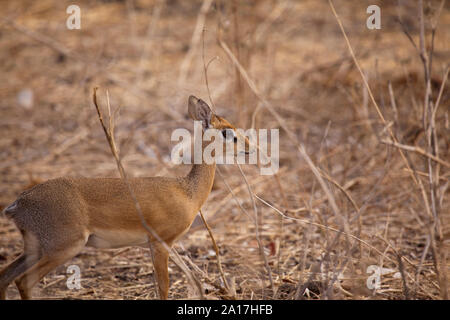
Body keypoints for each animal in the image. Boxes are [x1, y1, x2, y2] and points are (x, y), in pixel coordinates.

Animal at [0, 95, 250, 300]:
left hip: (35, 249)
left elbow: (194, 281)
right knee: (24, 281)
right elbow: (164, 288)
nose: (249, 147)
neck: (187, 191)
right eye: (227, 132)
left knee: (6, 276)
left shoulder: (166, 244)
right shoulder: (159, 243)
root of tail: (19, 204)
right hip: (64, 247)